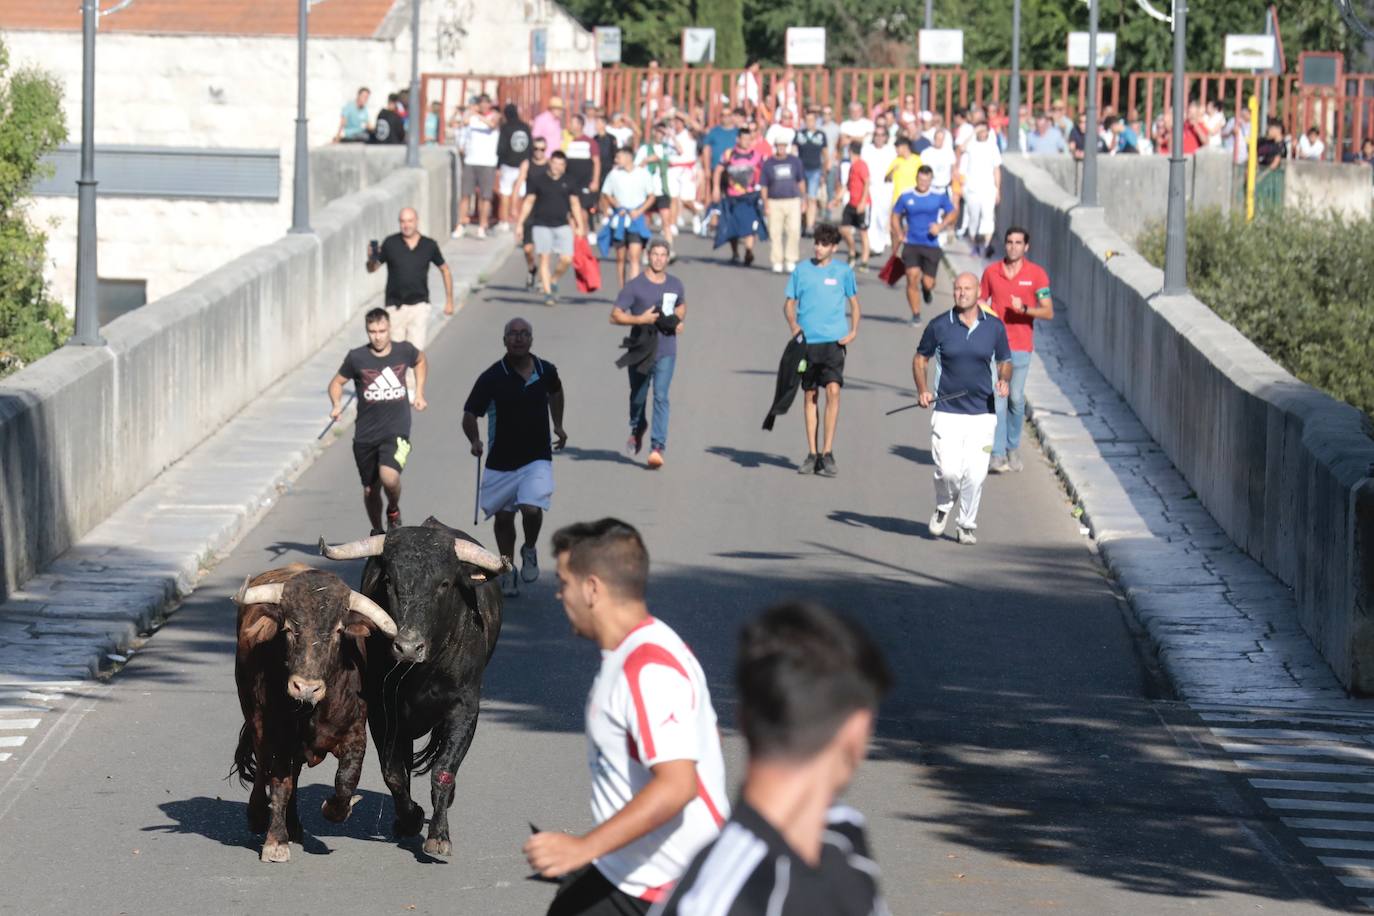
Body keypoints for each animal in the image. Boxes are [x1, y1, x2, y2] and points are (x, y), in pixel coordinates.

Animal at [232, 563, 398, 862]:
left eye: (338, 631)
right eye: (288, 627)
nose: (306, 687)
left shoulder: (355, 734)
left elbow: (346, 780)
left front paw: (335, 808)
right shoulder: (277, 737)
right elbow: (280, 785)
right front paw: (276, 842)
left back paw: (294, 826)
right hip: (256, 721)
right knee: (263, 769)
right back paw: (259, 816)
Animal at [318, 519, 508, 856]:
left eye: (444, 584)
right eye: (389, 580)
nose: (407, 647)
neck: (421, 672)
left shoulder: (464, 709)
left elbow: (443, 769)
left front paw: (439, 835)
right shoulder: (383, 712)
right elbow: (393, 772)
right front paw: (411, 819)